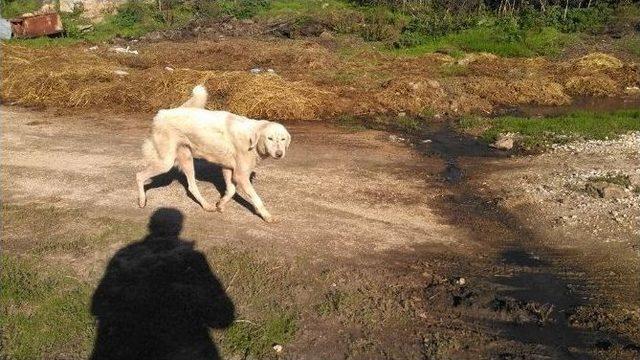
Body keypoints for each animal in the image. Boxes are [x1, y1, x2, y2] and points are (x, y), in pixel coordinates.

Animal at [139, 86, 294, 222]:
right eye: (270, 138)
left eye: (283, 139)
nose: (279, 154)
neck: (250, 139)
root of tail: (162, 113)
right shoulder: (241, 175)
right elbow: (257, 199)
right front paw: (267, 216)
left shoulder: (228, 169)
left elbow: (231, 190)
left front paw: (220, 204)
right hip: (165, 163)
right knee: (139, 176)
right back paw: (141, 200)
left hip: (187, 160)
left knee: (192, 187)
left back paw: (206, 206)